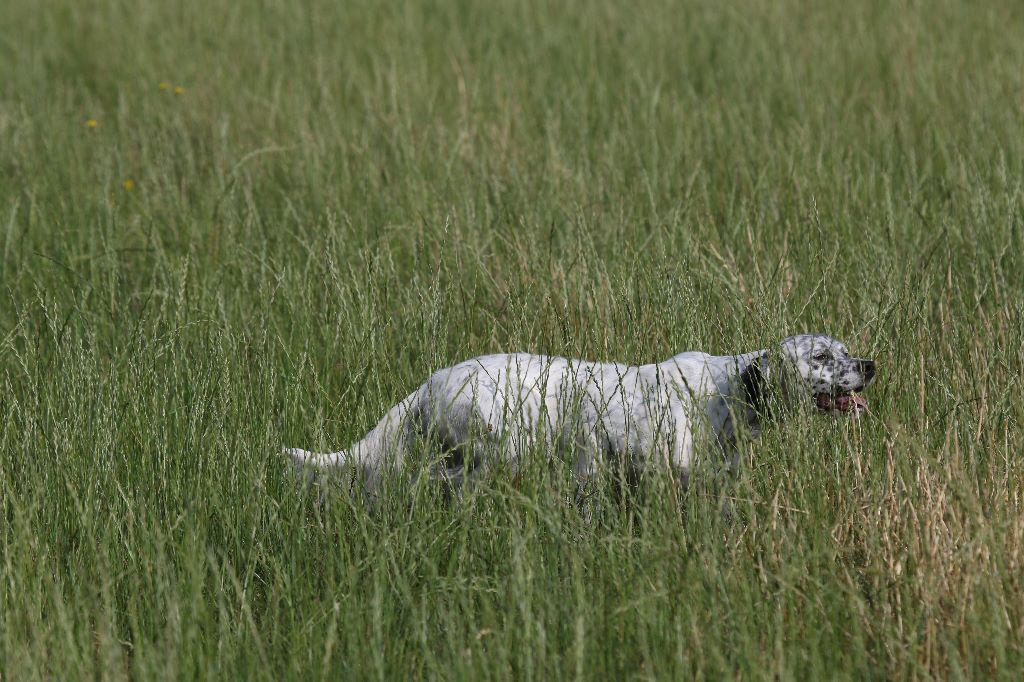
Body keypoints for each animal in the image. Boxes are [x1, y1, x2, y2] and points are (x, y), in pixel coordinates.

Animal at [284, 333, 876, 493]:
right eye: (821, 357)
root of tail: (429, 383)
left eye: (846, 349)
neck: (728, 389)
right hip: (494, 453)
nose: (870, 365)